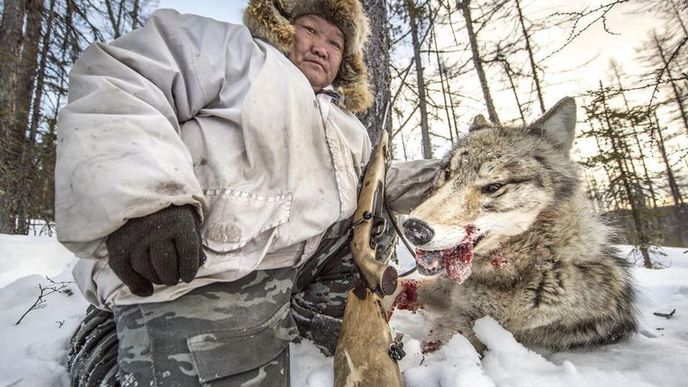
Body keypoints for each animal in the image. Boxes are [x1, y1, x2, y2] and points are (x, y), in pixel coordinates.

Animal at [398, 98, 640, 354]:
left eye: (494, 187)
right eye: (447, 173)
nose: (413, 229)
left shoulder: (473, 327)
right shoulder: (445, 289)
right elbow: (405, 286)